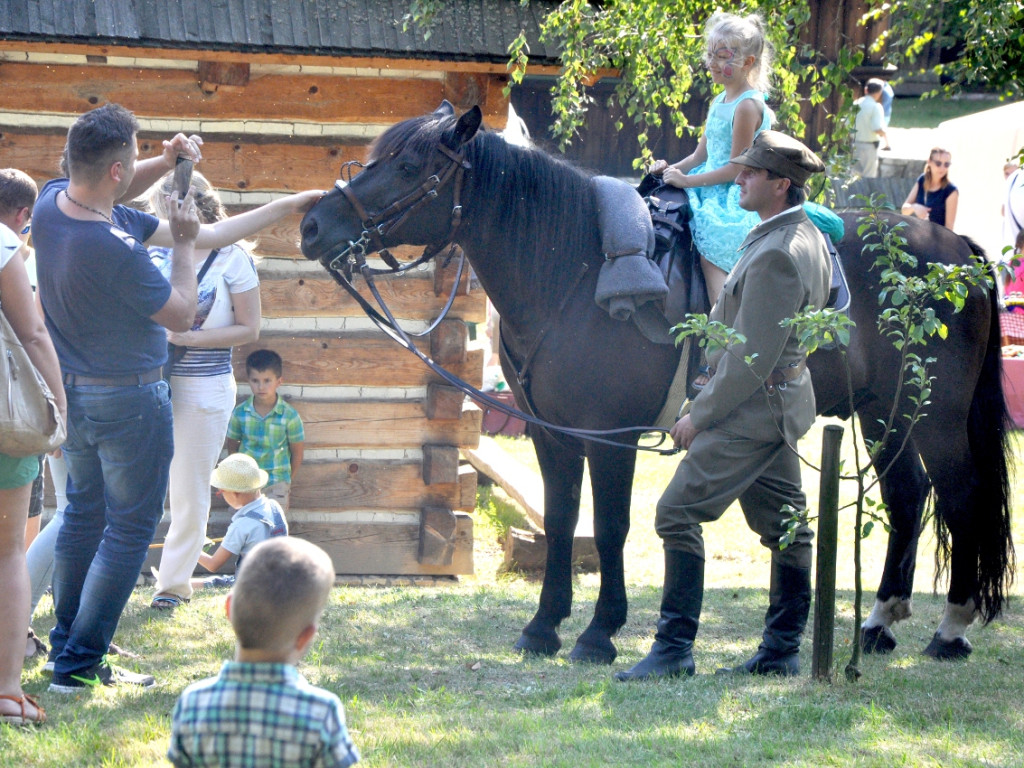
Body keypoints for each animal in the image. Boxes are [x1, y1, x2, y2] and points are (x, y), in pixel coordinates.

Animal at [299, 102, 1011, 663]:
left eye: (409, 168)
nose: (313, 226)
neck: (575, 270)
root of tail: (957, 250)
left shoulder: (612, 436)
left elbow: (611, 526)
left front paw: (598, 634)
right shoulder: (552, 435)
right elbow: (563, 521)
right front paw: (544, 627)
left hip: (936, 418)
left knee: (962, 496)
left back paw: (951, 627)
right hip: (885, 413)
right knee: (908, 496)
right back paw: (880, 620)